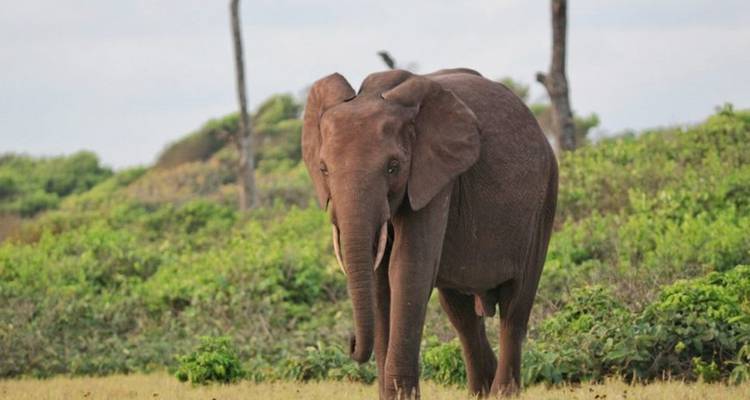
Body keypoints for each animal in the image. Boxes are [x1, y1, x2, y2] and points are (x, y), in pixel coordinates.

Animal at [301, 68, 557, 399]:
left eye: (393, 167)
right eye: (323, 169)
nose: (351, 342)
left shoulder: (435, 176)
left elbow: (408, 267)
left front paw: (401, 396)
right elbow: (380, 280)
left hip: (545, 200)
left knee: (515, 306)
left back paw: (502, 392)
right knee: (461, 314)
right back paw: (480, 390)